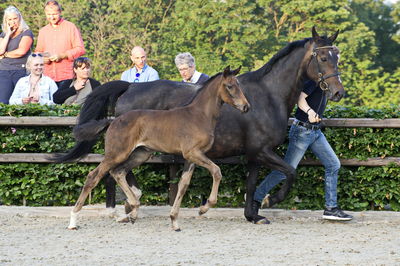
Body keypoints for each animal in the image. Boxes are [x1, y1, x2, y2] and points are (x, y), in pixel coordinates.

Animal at [65, 67, 248, 231]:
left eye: (239, 84)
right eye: (230, 86)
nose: (246, 107)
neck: (199, 116)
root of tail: (113, 120)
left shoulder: (191, 157)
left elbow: (183, 184)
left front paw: (174, 221)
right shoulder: (193, 153)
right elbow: (217, 171)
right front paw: (204, 208)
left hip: (140, 154)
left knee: (118, 172)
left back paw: (133, 210)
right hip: (117, 154)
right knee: (94, 176)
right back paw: (73, 221)